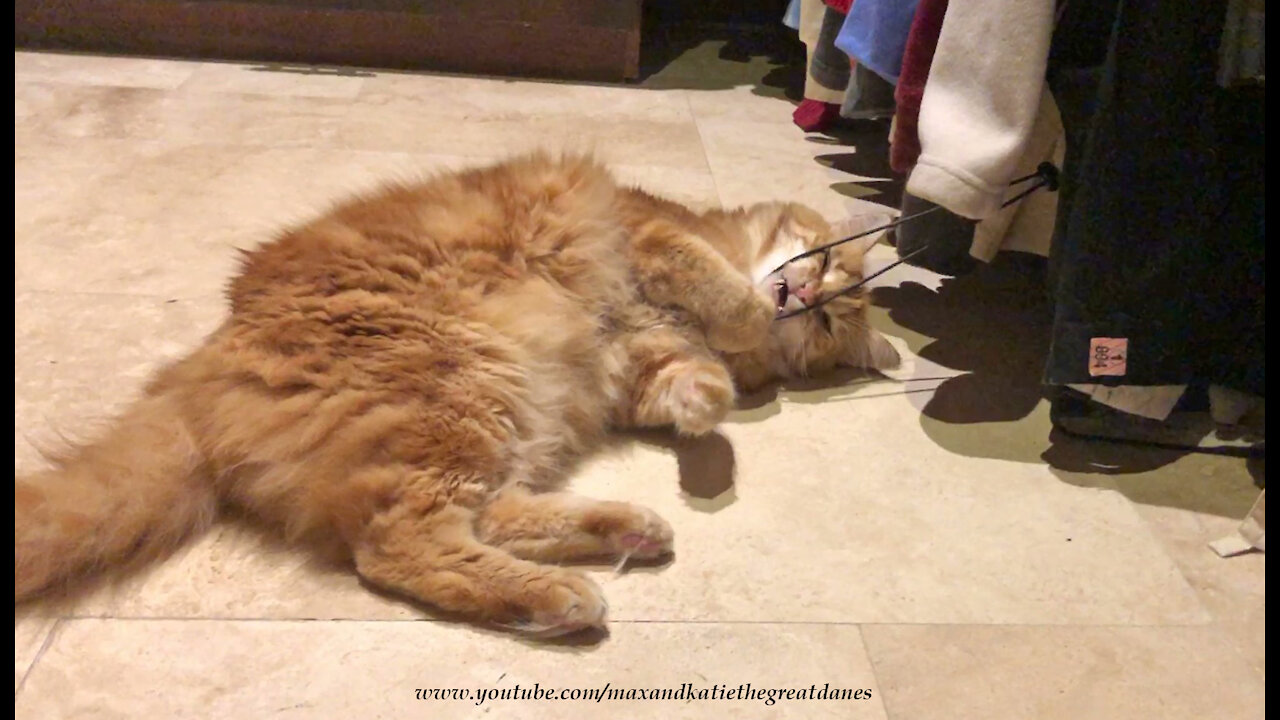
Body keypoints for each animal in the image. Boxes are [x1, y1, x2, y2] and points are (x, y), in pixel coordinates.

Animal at [12, 152, 901, 632]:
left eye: (828, 323)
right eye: (823, 266)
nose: (803, 298)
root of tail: (198, 372)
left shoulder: (643, 362)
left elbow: (694, 384)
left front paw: (715, 407)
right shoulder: (651, 235)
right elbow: (721, 292)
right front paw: (745, 325)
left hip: (488, 417)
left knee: (479, 519)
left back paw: (623, 532)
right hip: (459, 396)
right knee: (399, 548)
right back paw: (563, 594)